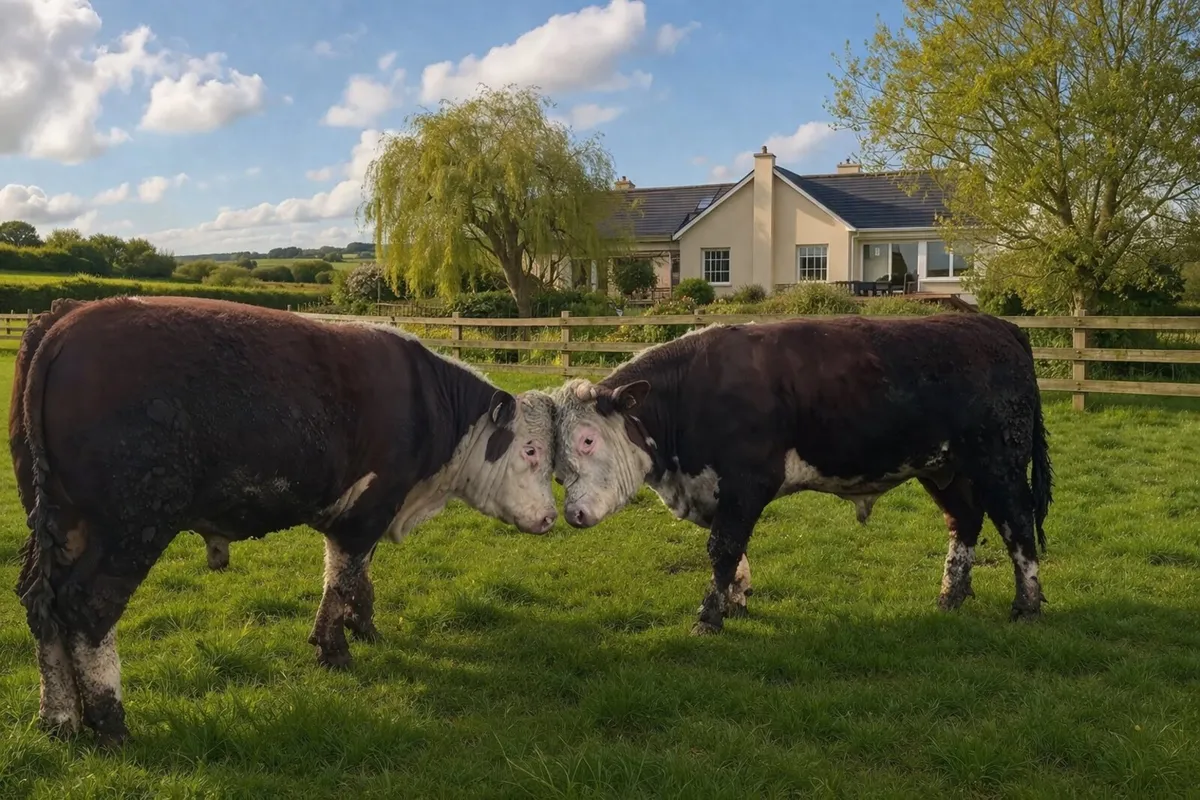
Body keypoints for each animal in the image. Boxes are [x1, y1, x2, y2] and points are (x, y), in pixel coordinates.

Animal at [10, 296, 559, 747]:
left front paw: (363, 626)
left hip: (58, 524)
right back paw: (110, 724)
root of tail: (69, 319)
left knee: (43, 607)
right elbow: (342, 576)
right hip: (131, 524)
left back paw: (58, 719)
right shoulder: (368, 507)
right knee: (88, 610)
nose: (553, 516)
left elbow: (353, 576)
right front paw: (335, 649)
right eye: (531, 450)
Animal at [549, 313, 1053, 636]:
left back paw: (1027, 606)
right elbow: (734, 552)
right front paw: (735, 602)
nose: (572, 515)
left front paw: (709, 617)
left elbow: (722, 548)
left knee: (1018, 526)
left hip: (999, 463)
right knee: (963, 522)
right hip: (943, 467)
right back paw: (951, 596)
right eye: (554, 459)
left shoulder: (748, 480)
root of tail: (997, 326)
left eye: (588, 440)